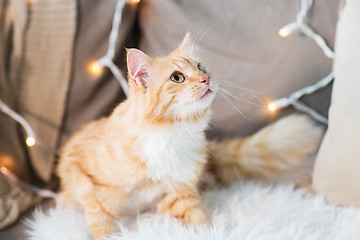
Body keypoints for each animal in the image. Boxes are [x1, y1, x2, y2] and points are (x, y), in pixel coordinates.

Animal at [57, 33, 324, 238]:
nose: (207, 79)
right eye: (177, 77)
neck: (171, 133)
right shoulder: (89, 183)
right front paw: (107, 234)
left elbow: (198, 218)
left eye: (201, 67)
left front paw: (212, 232)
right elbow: (101, 222)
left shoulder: (179, 191)